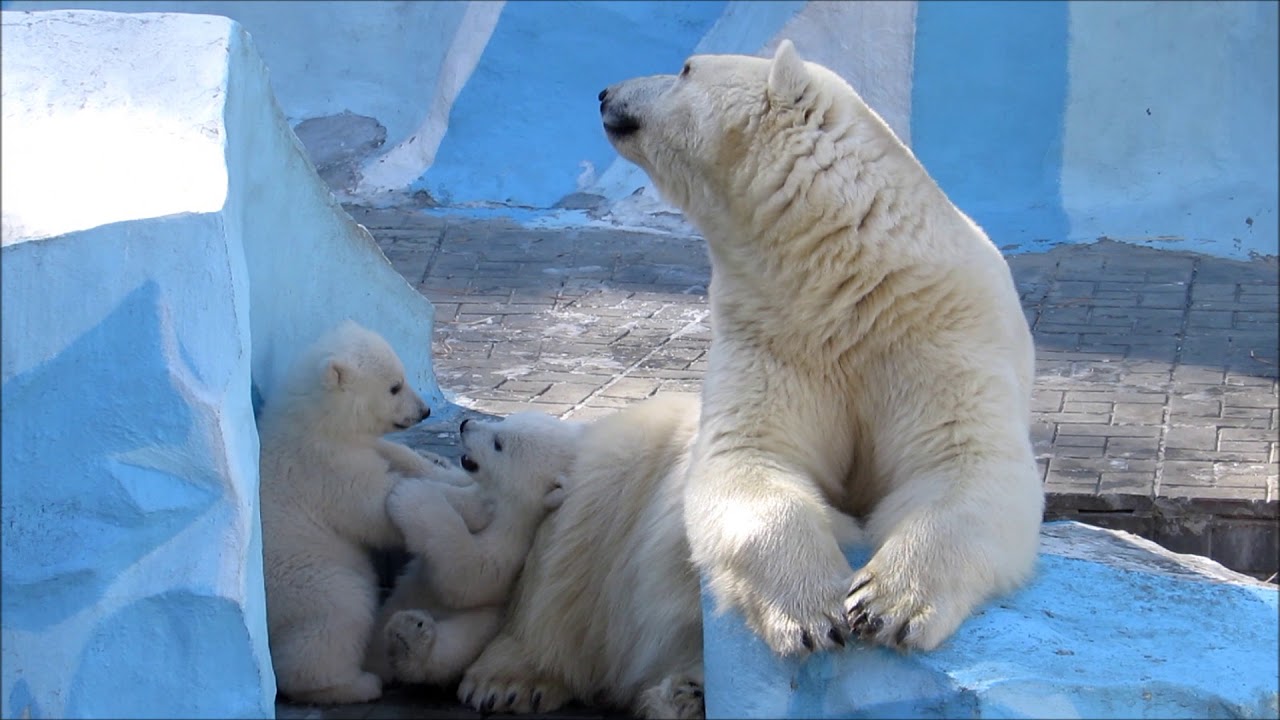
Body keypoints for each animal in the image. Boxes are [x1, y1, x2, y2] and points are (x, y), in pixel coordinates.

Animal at [258, 320, 488, 702]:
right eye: (394, 386)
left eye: (403, 376)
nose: (424, 411)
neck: (316, 423)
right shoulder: (325, 468)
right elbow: (377, 506)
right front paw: (476, 503)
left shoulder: (360, 448)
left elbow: (401, 457)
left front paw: (446, 470)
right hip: (307, 576)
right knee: (340, 610)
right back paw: (353, 685)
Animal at [366, 409, 576, 681]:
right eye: (506, 420)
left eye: (498, 443)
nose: (466, 424)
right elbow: (445, 478)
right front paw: (393, 449)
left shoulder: (516, 539)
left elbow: (472, 573)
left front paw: (413, 495)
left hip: (490, 618)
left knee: (461, 640)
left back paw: (408, 638)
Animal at [593, 40, 1044, 655]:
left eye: (686, 69)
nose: (606, 92)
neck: (844, 277)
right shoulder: (773, 334)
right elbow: (751, 454)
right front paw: (811, 609)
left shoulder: (939, 332)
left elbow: (964, 460)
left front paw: (887, 602)